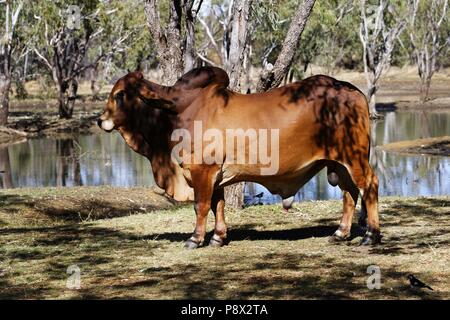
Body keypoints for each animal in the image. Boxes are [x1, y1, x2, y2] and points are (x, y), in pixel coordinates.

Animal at [97, 66, 380, 249]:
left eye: (120, 94)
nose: (100, 120)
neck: (175, 113)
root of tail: (353, 90)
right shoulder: (216, 176)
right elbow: (218, 205)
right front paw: (218, 238)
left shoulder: (202, 171)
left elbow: (201, 206)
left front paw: (195, 239)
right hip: (338, 163)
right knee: (349, 194)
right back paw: (340, 234)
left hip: (353, 158)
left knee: (369, 186)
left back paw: (371, 236)